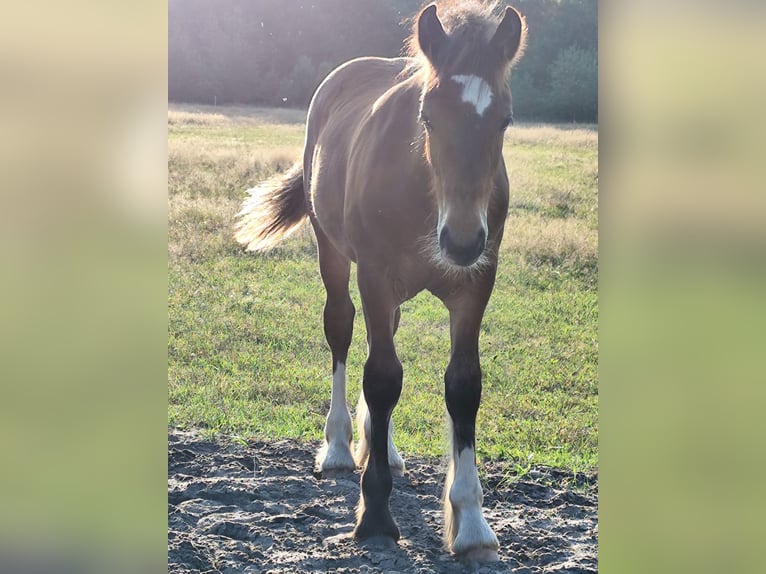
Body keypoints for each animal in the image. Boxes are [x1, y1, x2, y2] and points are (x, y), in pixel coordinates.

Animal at [238, 1, 528, 564]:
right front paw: (373, 516)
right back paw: (337, 446)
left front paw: (472, 523)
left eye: (504, 119)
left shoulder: (476, 284)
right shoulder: (374, 272)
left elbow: (463, 386)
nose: (462, 240)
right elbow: (381, 377)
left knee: (384, 339)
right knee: (343, 331)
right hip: (334, 254)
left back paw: (382, 445)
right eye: (428, 116)